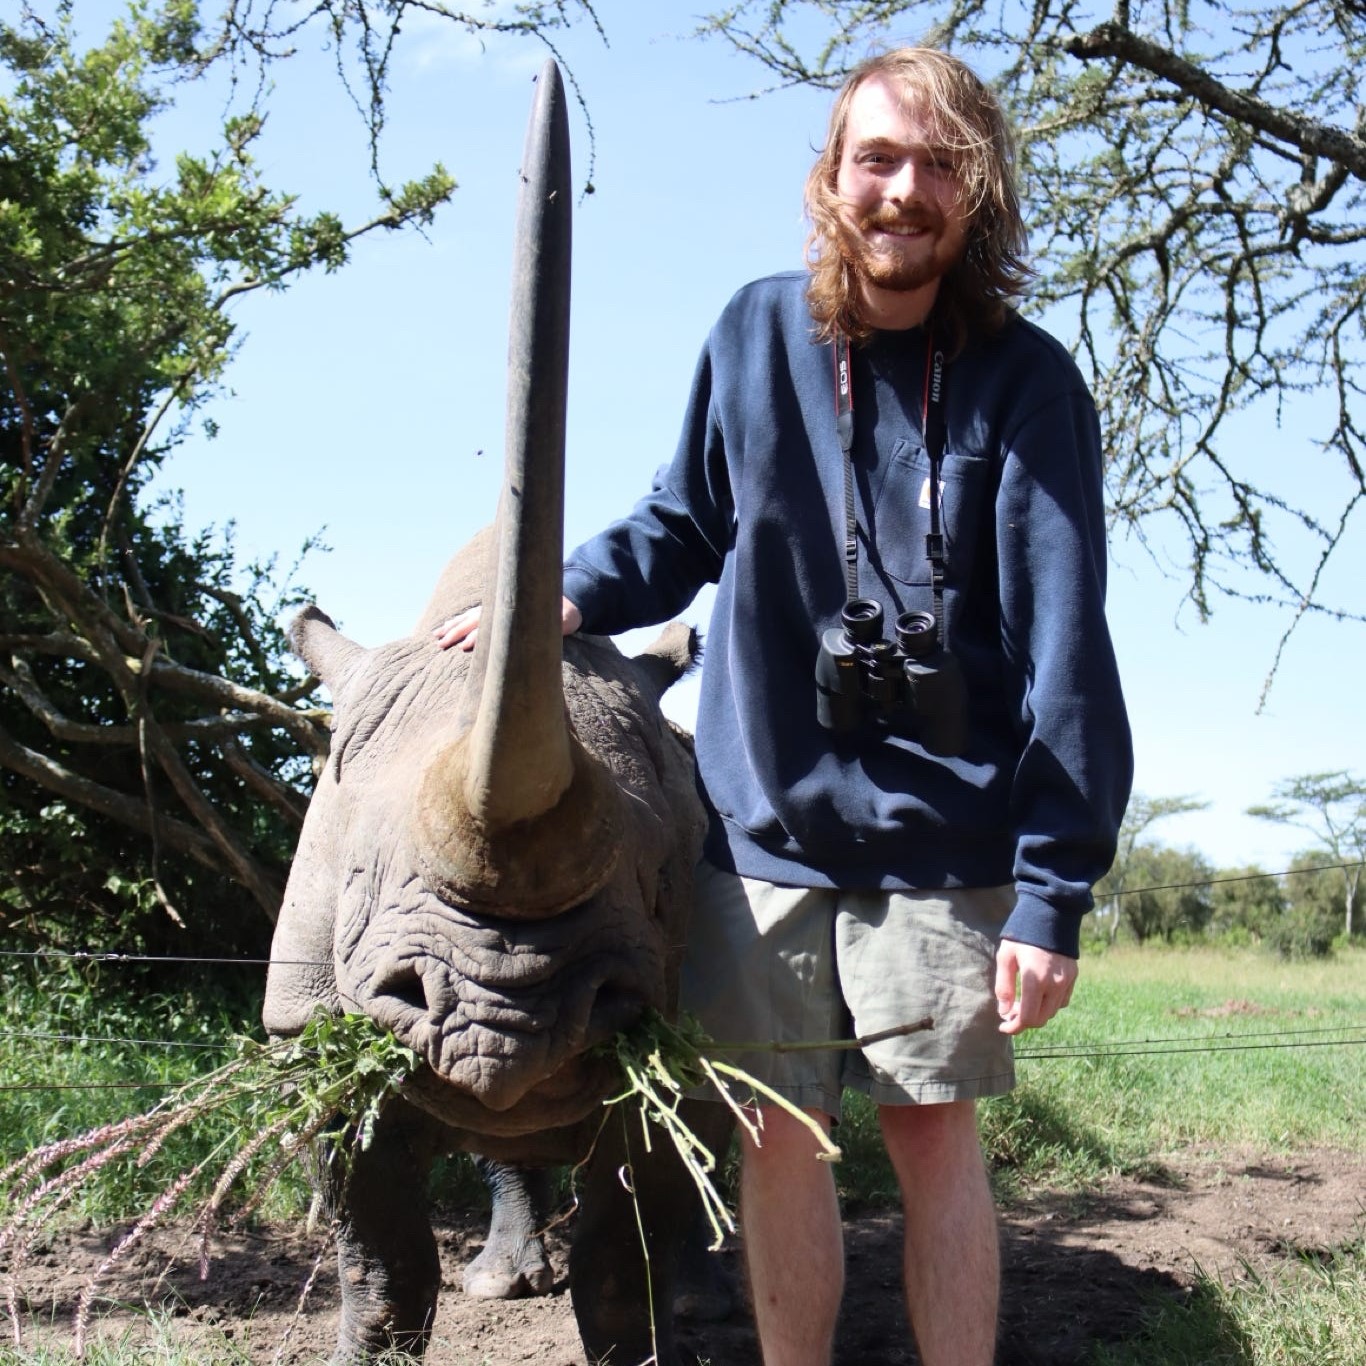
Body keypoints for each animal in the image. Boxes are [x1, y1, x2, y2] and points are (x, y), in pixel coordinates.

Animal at [263, 62, 729, 1364]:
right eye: (353, 879)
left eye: (665, 878)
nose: (499, 1025)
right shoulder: (307, 1023)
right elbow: (375, 1251)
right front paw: (372, 1347)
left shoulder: (673, 1011)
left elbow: (631, 1231)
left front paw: (640, 1340)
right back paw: (504, 1275)